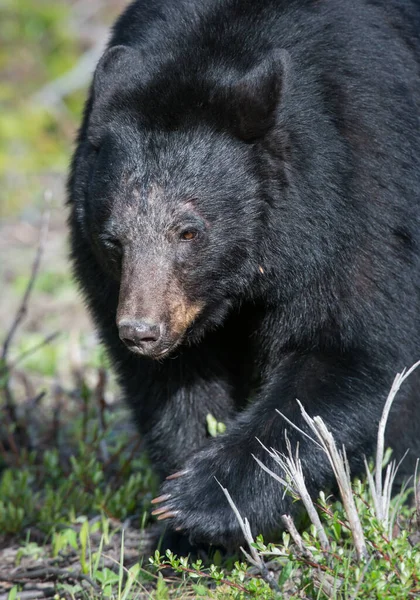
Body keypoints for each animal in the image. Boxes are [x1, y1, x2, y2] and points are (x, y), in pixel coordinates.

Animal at [68, 0, 420, 548]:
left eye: (189, 231)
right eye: (113, 240)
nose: (141, 331)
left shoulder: (365, 182)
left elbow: (350, 346)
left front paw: (204, 498)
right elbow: (177, 386)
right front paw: (180, 523)